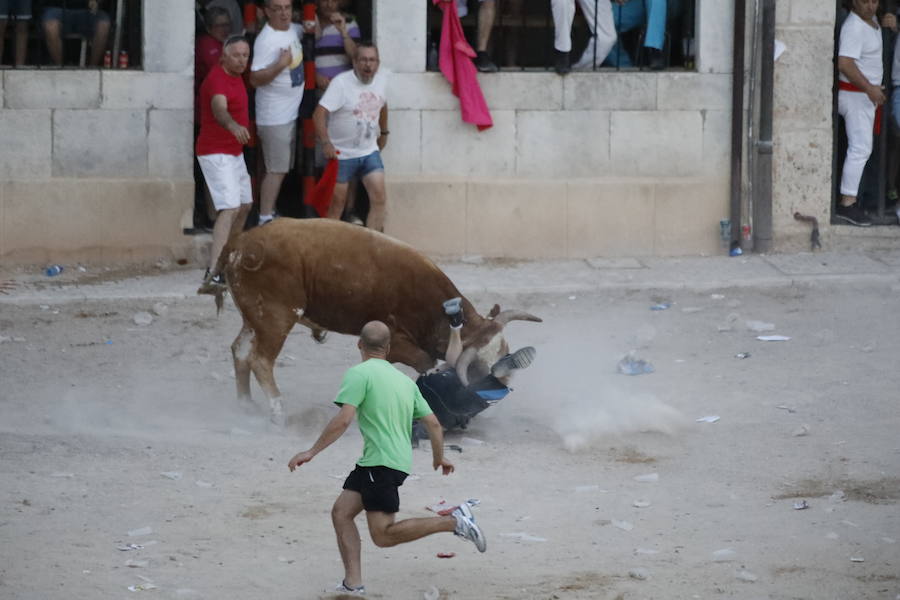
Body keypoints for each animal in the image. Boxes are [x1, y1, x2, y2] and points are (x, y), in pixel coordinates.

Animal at [207, 219, 536, 422]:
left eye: (504, 350)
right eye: (478, 368)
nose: (503, 381)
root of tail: (240, 243)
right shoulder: (395, 337)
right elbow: (425, 361)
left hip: (254, 318)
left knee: (240, 350)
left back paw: (246, 404)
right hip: (276, 316)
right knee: (261, 359)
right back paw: (278, 413)